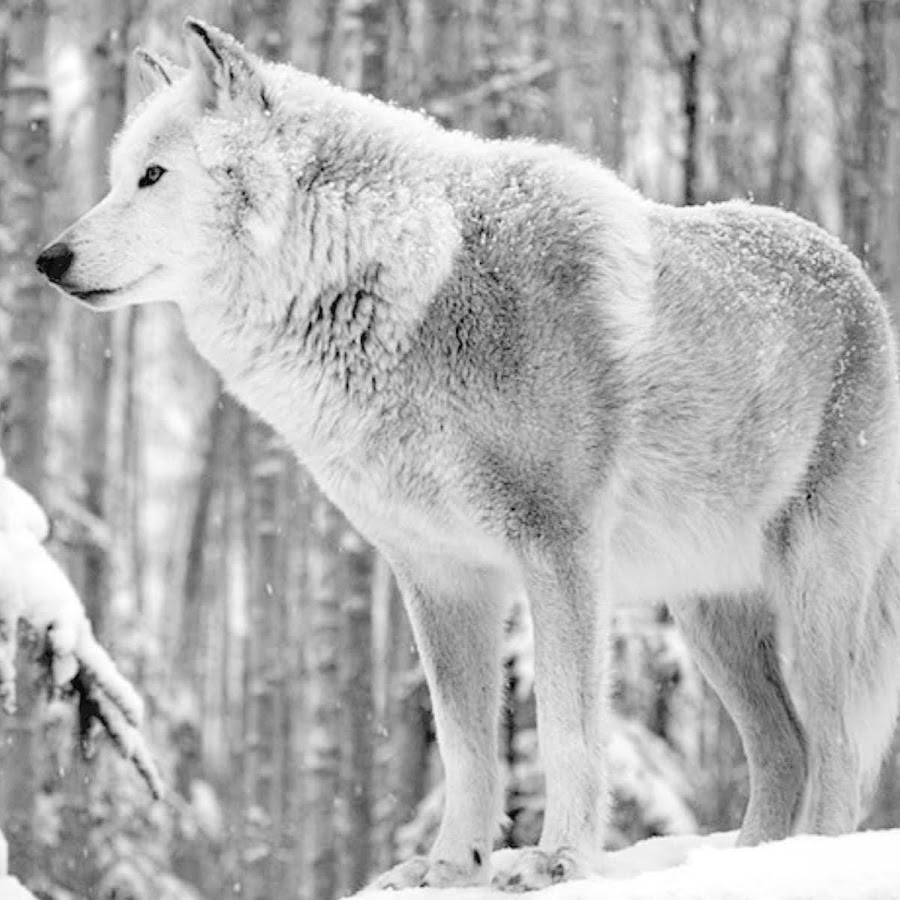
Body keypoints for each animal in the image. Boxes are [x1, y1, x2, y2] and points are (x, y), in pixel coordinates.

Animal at [35, 21, 900, 892]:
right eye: (114, 179)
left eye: (152, 176)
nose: (47, 258)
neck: (401, 285)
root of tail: (858, 275)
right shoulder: (438, 574)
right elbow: (465, 744)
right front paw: (451, 864)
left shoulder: (559, 549)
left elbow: (565, 728)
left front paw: (558, 859)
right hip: (708, 618)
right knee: (785, 747)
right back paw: (752, 862)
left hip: (812, 598)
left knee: (835, 747)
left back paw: (810, 859)